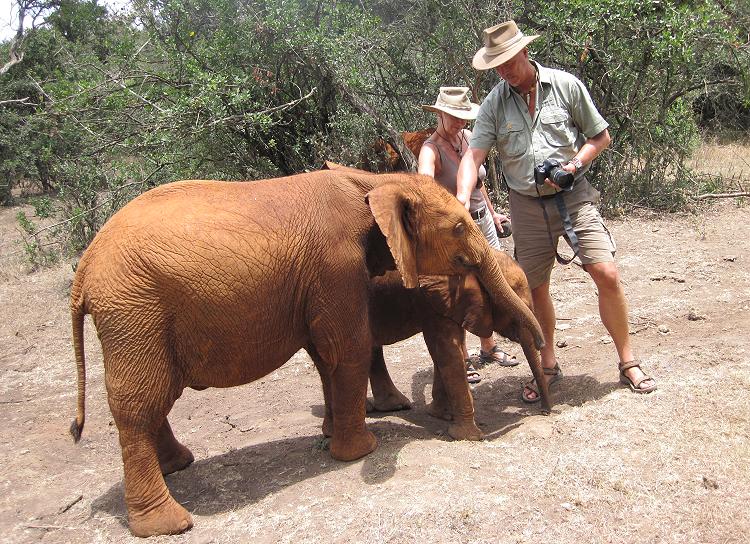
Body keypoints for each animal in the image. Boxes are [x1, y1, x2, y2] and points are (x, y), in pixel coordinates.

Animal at [364, 246, 552, 442]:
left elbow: (444, 351)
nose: (544, 412)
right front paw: (471, 436)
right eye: (511, 304)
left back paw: (394, 406)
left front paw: (444, 415)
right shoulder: (433, 299)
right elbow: (447, 351)